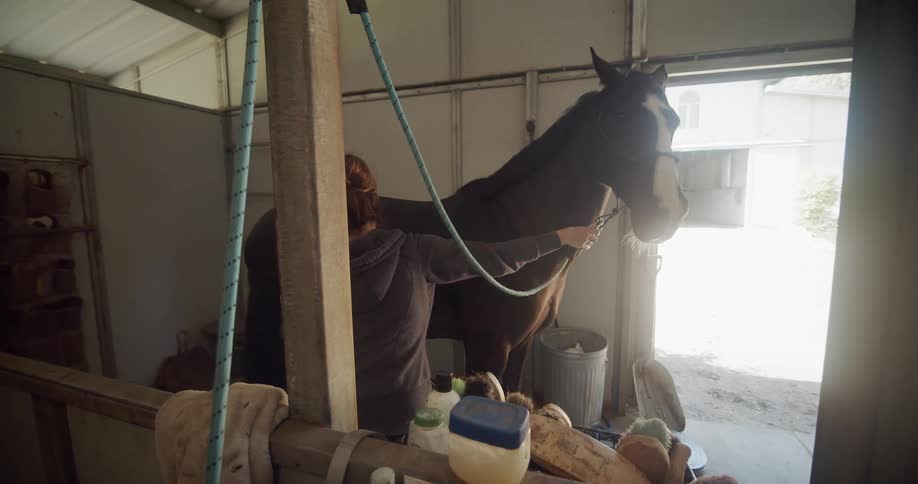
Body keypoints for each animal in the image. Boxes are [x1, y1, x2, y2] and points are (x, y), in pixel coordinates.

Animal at [378, 49, 688, 390]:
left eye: (674, 121)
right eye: (619, 117)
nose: (667, 212)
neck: (516, 232)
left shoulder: (522, 345)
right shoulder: (488, 347)